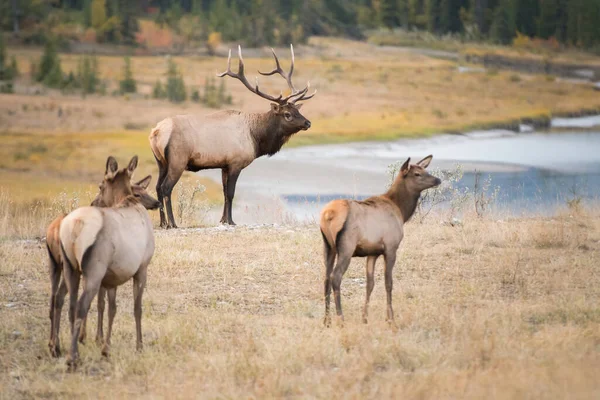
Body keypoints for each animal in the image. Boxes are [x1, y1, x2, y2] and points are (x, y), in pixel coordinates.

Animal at [59, 155, 161, 368]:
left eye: (100, 185)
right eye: (138, 192)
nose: (94, 201)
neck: (127, 201)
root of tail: (75, 228)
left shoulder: (112, 278)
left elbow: (111, 309)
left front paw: (106, 347)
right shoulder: (142, 268)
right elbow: (137, 308)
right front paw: (139, 345)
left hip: (71, 269)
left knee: (69, 305)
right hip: (94, 269)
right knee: (81, 305)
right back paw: (73, 356)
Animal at [150, 44, 316, 228]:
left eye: (297, 110)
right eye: (287, 114)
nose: (308, 123)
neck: (255, 138)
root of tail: (157, 132)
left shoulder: (224, 165)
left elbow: (224, 192)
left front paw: (223, 219)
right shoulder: (236, 162)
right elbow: (230, 193)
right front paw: (230, 220)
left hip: (161, 162)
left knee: (157, 187)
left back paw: (163, 223)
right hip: (178, 159)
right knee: (166, 187)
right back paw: (172, 223)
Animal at [318, 155, 440, 326]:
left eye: (426, 170)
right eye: (417, 173)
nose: (438, 180)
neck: (401, 211)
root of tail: (328, 214)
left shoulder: (372, 252)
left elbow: (370, 284)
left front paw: (365, 317)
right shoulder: (391, 247)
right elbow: (388, 283)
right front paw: (390, 318)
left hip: (328, 246)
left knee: (326, 278)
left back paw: (326, 320)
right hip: (346, 246)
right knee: (336, 277)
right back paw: (341, 318)